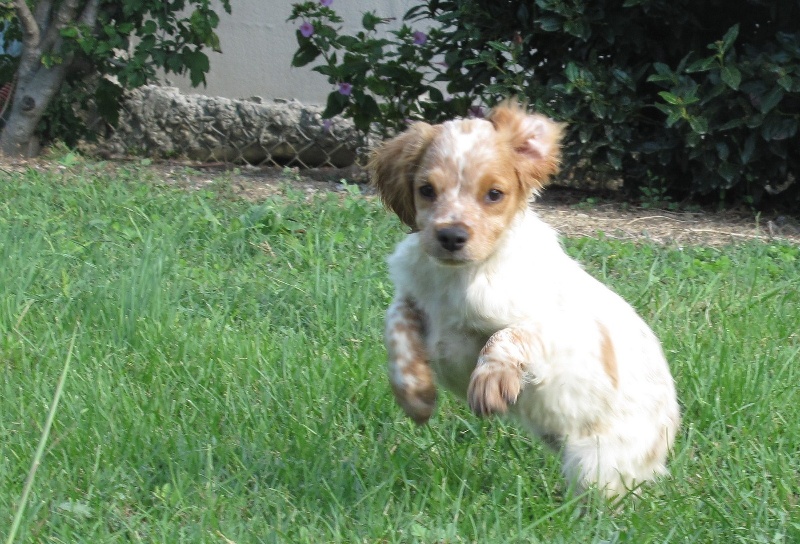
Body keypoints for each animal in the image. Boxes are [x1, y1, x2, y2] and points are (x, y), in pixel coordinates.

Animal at [372, 100, 680, 500]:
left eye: (494, 194)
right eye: (426, 190)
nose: (451, 236)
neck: (461, 277)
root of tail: (668, 432)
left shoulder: (556, 331)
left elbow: (509, 334)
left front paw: (489, 381)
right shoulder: (413, 296)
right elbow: (396, 323)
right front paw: (415, 393)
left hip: (598, 464)